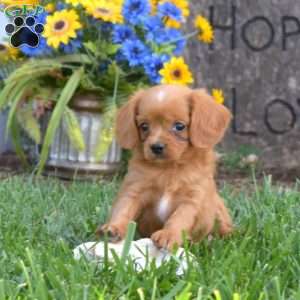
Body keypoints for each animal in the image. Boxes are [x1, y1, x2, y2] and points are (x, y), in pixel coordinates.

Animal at [97, 83, 233, 250]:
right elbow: (123, 209)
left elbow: (180, 217)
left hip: (218, 209)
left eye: (179, 126)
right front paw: (113, 227)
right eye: (144, 126)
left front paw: (169, 234)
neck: (168, 169)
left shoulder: (192, 198)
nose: (156, 147)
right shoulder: (134, 190)